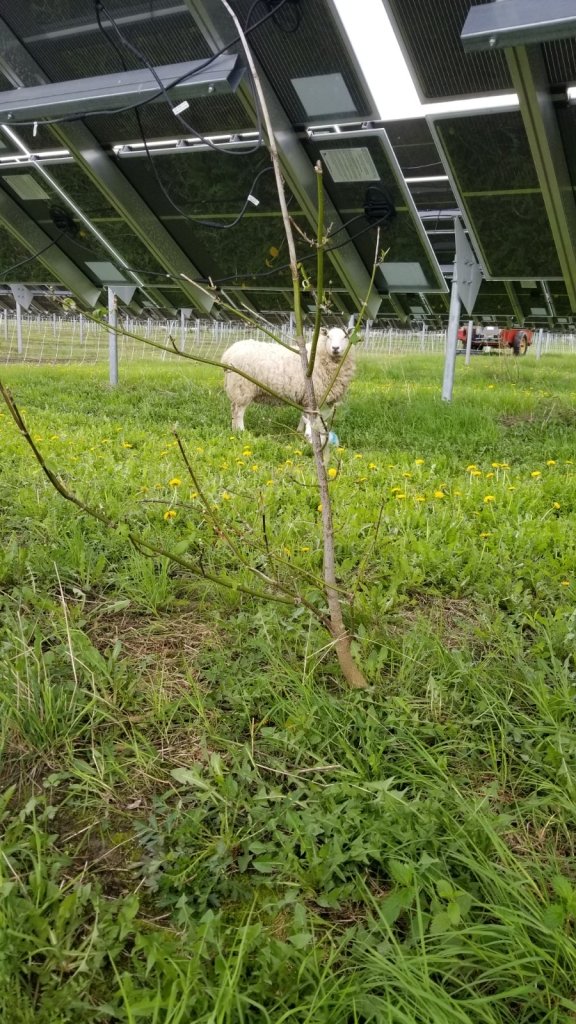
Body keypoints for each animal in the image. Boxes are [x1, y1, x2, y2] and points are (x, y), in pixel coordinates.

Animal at [220, 327, 352, 436]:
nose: (335, 348)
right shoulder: (313, 395)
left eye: (345, 336)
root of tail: (227, 354)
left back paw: (234, 430)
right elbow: (310, 418)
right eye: (328, 336)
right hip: (242, 387)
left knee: (234, 410)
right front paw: (308, 434)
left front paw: (299, 431)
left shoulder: (306, 396)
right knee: (238, 411)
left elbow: (304, 415)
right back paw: (241, 431)